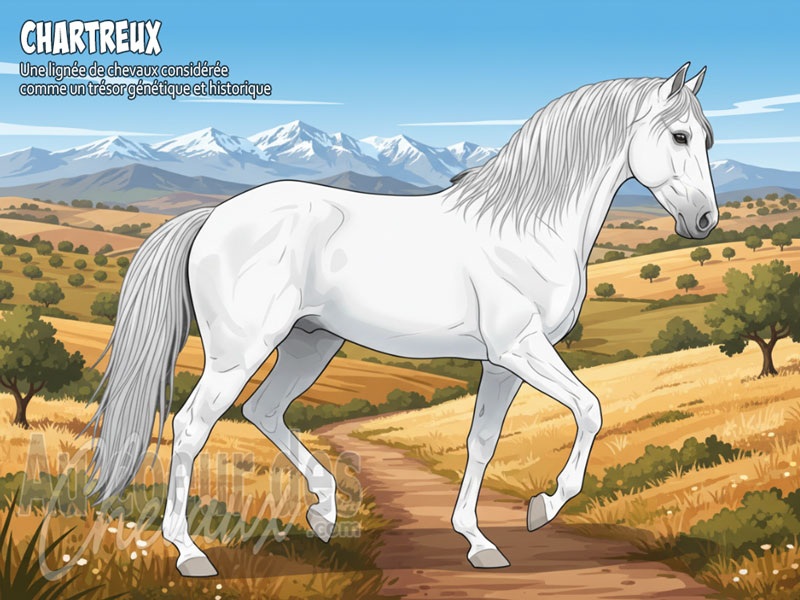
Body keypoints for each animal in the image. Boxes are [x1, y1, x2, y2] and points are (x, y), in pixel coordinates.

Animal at [85, 62, 716, 575]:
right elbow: (590, 409)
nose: (705, 221)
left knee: (263, 410)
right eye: (680, 135)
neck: (526, 226)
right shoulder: (521, 348)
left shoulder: (502, 363)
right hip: (240, 350)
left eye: (708, 138)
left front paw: (480, 543)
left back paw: (323, 513)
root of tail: (214, 216)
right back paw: (190, 554)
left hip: (310, 343)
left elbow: (482, 441)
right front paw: (543, 508)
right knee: (193, 425)